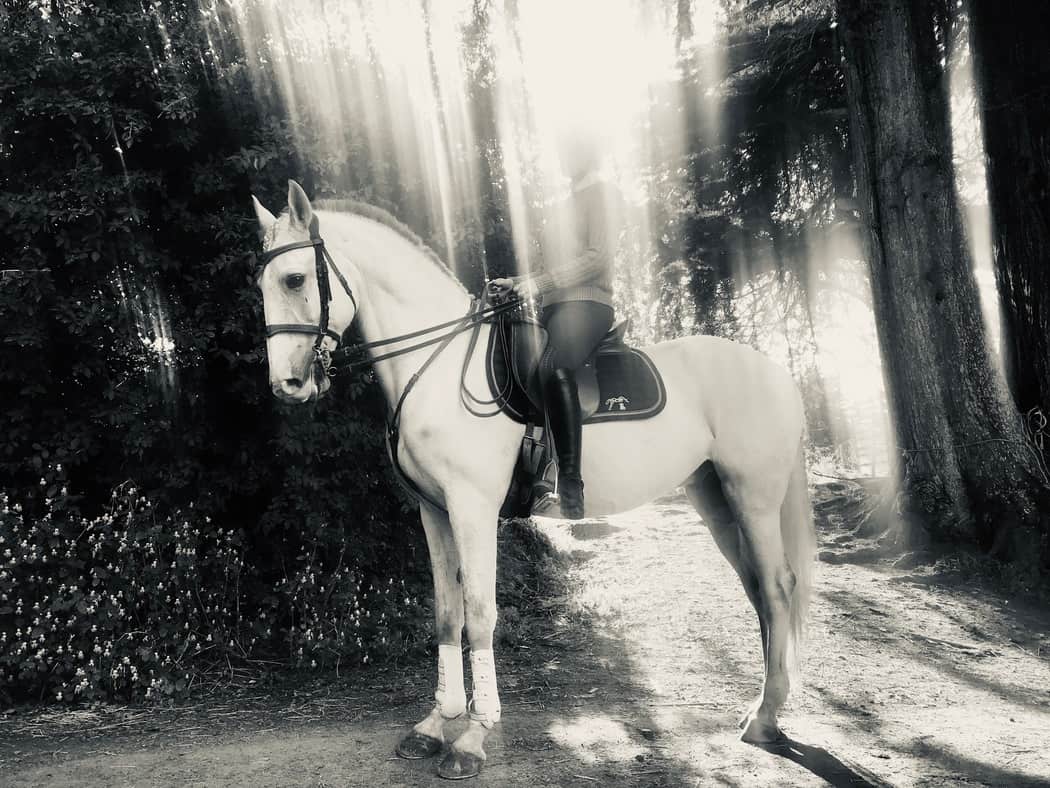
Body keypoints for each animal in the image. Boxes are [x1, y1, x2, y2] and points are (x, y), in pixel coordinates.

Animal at [251, 180, 815, 780]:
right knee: (757, 588)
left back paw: (766, 717)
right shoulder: (434, 511)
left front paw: (474, 736)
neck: (437, 367)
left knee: (776, 587)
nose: (287, 385)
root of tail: (776, 370)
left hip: (753, 497)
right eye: (260, 282)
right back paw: (763, 708)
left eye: (294, 279)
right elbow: (445, 613)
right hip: (715, 498)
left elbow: (479, 613)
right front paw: (435, 723)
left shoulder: (472, 509)